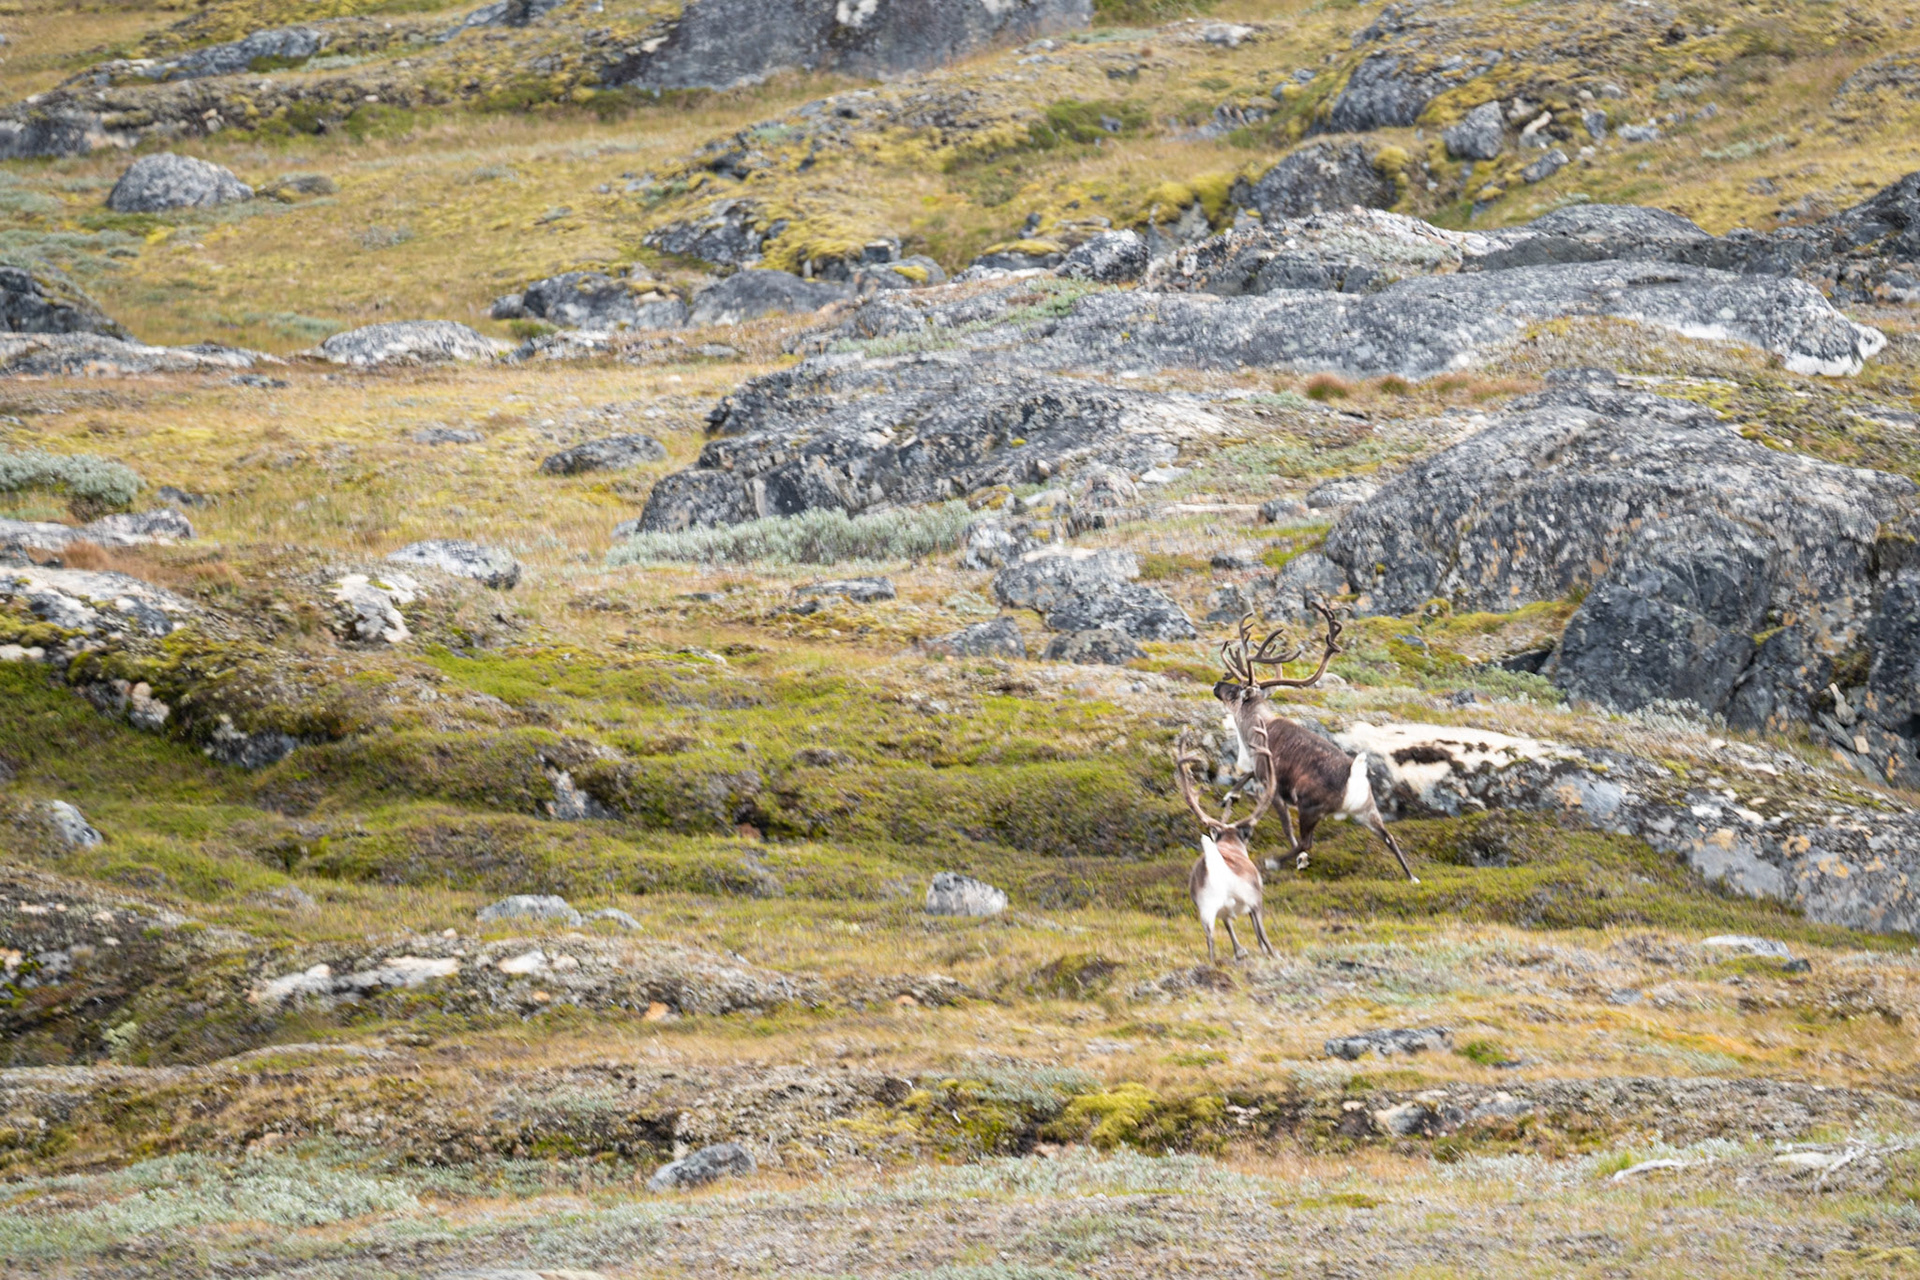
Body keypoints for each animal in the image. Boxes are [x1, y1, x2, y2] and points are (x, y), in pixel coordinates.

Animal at [1174, 731, 1280, 963]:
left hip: (1206, 909)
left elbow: (1229, 926)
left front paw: (1239, 951)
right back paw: (1273, 953)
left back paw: (1213, 963)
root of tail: (1215, 868)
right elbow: (1257, 932)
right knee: (1261, 930)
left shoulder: (1221, 912)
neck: (1229, 844)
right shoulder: (1254, 898)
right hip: (1252, 899)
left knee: (1210, 940)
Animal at [1212, 602, 1419, 883]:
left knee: (1307, 841)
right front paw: (1229, 795)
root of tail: (1355, 776)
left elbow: (1286, 826)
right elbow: (1245, 775)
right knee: (1388, 836)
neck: (1255, 729)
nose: (1216, 684)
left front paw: (1299, 860)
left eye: (1235, 690)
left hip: (1309, 806)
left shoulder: (1272, 785)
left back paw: (1276, 861)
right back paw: (1412, 877)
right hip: (1368, 810)